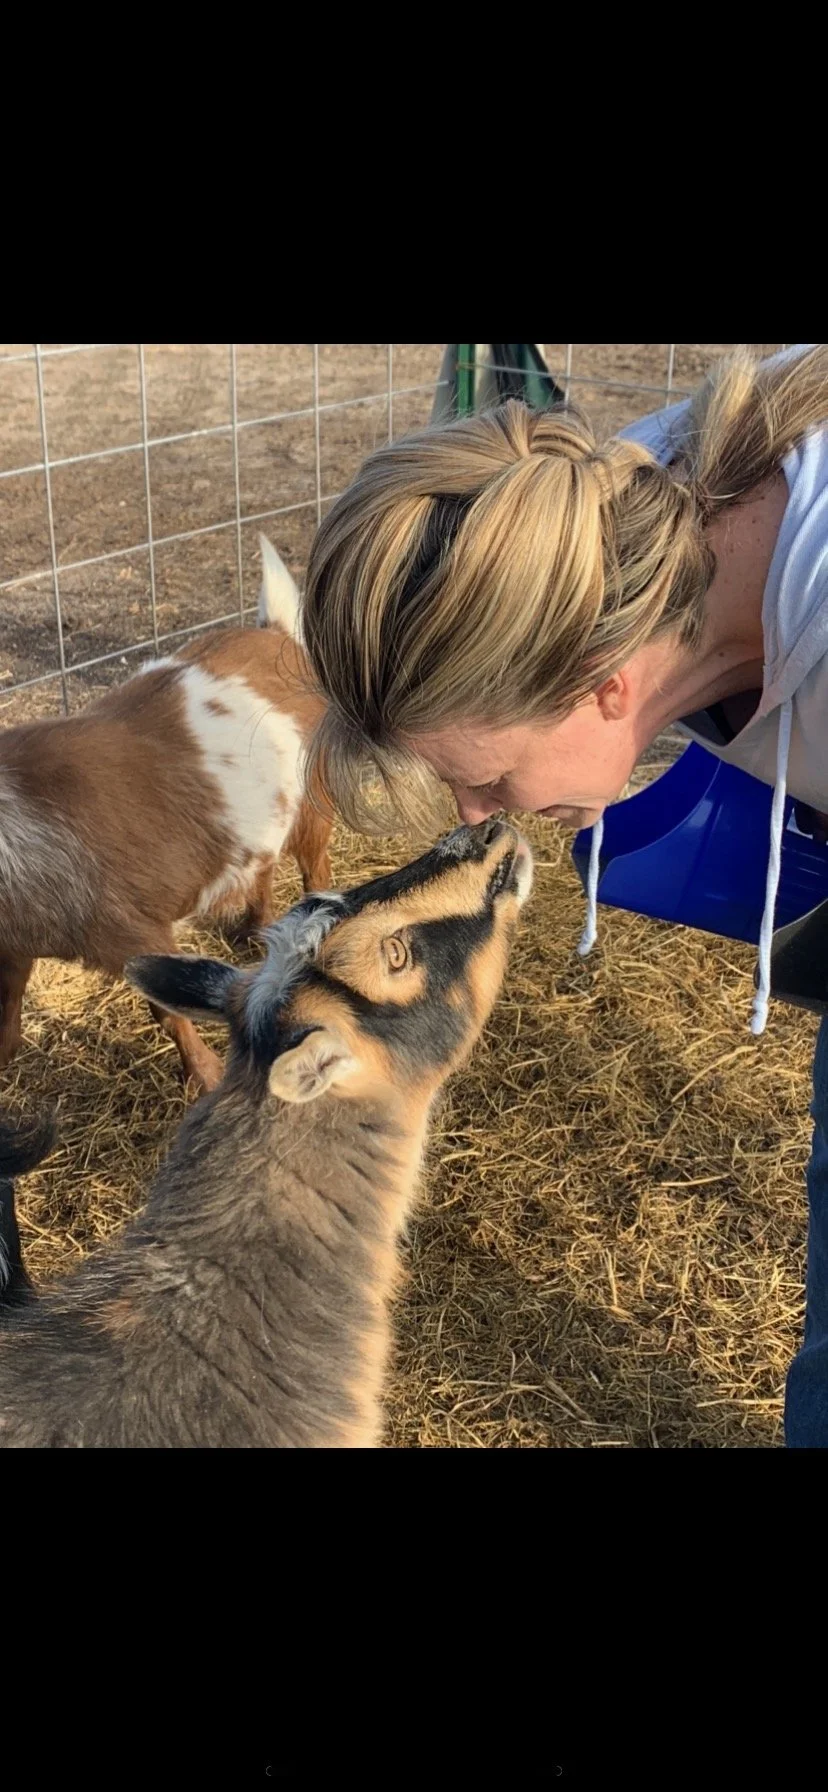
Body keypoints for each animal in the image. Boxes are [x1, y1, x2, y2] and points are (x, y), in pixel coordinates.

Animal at [0, 536, 332, 1093]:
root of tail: (278, 634)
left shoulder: (130, 930)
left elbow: (167, 1010)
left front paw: (205, 1078)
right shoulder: (18, 941)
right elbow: (10, 993)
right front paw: (4, 1056)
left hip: (313, 801)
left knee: (315, 869)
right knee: (262, 869)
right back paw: (253, 934)